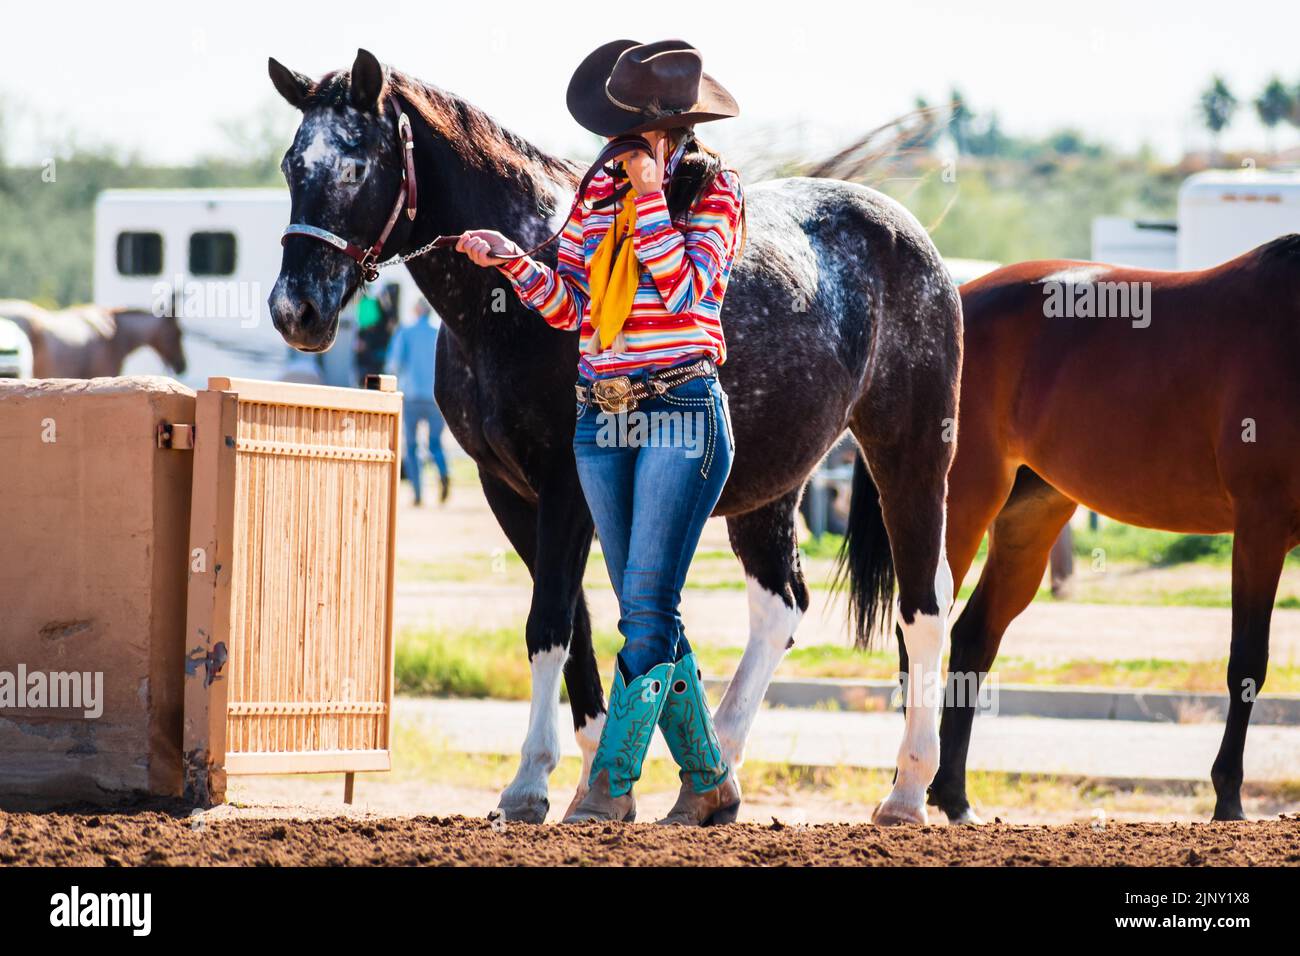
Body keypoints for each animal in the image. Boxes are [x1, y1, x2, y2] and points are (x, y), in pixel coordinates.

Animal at [263, 50, 961, 822]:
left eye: (356, 164)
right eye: (293, 164)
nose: (295, 310)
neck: (501, 316)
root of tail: (910, 236)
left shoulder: (565, 486)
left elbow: (549, 624)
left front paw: (529, 783)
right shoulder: (512, 492)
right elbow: (578, 627)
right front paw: (596, 775)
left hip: (912, 454)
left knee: (925, 606)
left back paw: (906, 791)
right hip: (768, 487)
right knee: (780, 606)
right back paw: (716, 774)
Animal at [930, 238, 1294, 822]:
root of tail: (959, 294)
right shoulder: (1261, 525)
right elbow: (1247, 661)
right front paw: (1228, 801)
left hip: (1030, 518)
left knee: (973, 635)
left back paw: (955, 798)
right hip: (960, 504)